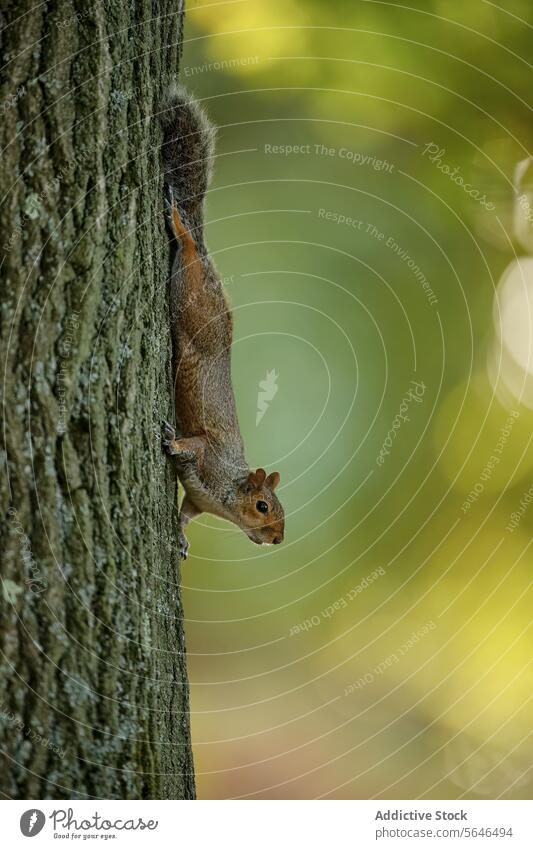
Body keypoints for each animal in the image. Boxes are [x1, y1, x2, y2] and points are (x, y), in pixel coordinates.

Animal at [158, 86, 282, 560]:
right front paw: (171, 440)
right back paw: (178, 219)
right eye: (263, 506)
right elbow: (191, 443)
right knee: (188, 242)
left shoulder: (197, 500)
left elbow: (183, 515)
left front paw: (181, 539)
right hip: (192, 297)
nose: (278, 539)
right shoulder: (208, 456)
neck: (225, 493)